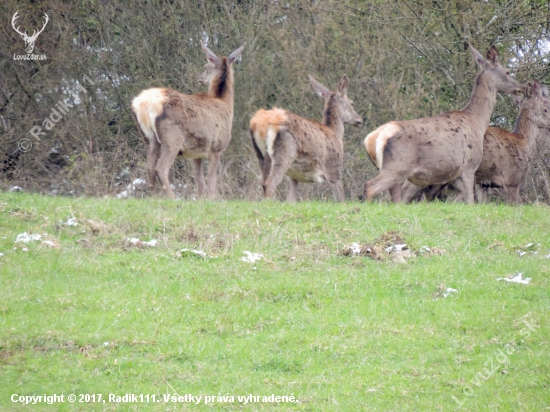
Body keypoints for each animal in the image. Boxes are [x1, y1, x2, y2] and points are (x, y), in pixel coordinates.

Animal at [132, 42, 244, 199]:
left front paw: (201, 200)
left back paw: (154, 197)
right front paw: (212, 199)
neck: (225, 104)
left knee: (149, 167)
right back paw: (171, 198)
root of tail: (143, 104)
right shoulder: (217, 146)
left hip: (149, 138)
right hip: (172, 137)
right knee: (161, 168)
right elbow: (211, 180)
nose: (199, 78)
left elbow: (199, 181)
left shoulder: (196, 152)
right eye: (206, 66)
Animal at [249, 75, 362, 203]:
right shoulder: (334, 171)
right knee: (270, 184)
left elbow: (291, 200)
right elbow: (341, 200)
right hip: (284, 153)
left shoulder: (294, 177)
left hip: (261, 156)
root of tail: (260, 124)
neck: (335, 134)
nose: (359, 120)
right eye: (352, 103)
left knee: (263, 183)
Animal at [362, 44, 528, 204]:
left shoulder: (456, 174)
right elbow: (470, 201)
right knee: (370, 186)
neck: (477, 122)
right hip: (398, 165)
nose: (522, 87)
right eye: (507, 72)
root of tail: (372, 138)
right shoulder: (469, 166)